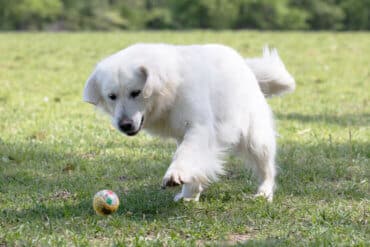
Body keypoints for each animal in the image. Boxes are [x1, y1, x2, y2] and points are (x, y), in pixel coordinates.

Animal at [84, 44, 294, 203]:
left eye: (136, 92)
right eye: (112, 96)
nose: (125, 125)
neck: (171, 88)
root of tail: (246, 65)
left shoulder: (200, 128)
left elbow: (186, 153)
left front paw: (175, 175)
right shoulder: (182, 133)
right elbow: (191, 158)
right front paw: (188, 189)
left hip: (255, 138)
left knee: (267, 168)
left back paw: (264, 192)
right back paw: (190, 195)